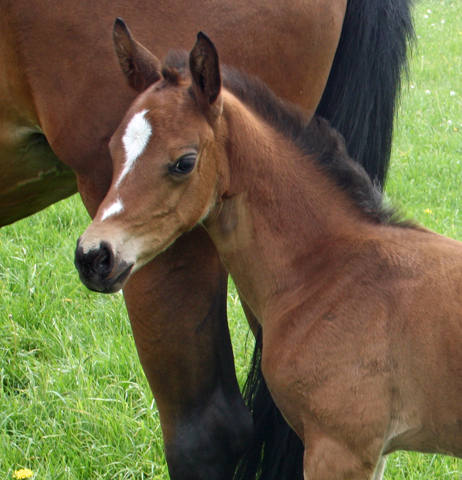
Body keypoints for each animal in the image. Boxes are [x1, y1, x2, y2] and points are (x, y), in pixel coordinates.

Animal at [75, 31, 462, 478]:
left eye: (184, 162)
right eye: (112, 149)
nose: (93, 256)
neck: (331, 269)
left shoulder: (341, 448)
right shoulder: (373, 451)